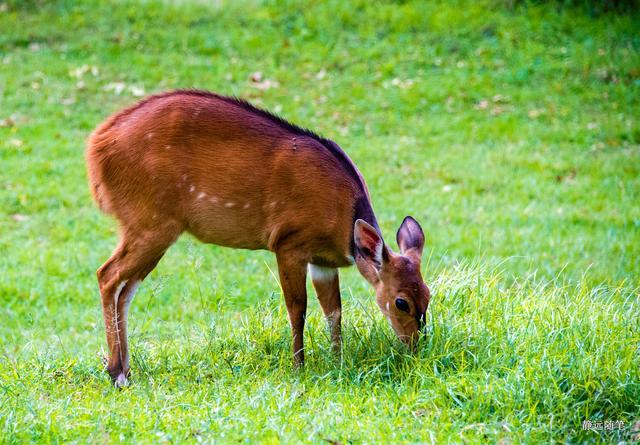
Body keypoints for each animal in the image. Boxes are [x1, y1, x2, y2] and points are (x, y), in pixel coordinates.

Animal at [85, 90, 430, 386]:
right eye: (401, 302)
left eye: (428, 295)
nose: (416, 348)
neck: (342, 220)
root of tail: (95, 149)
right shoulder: (288, 243)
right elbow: (298, 308)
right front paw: (298, 367)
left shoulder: (322, 261)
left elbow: (334, 310)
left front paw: (338, 360)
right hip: (151, 221)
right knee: (107, 274)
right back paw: (117, 373)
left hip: (149, 227)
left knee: (125, 288)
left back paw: (125, 368)